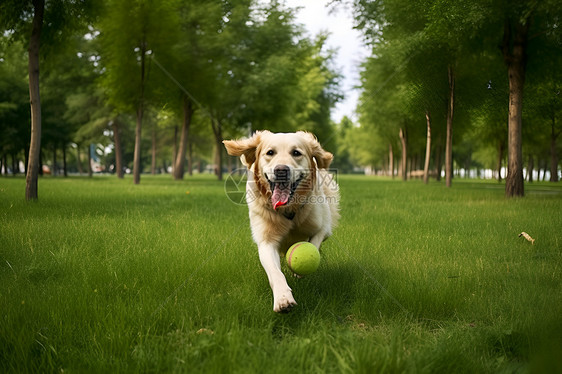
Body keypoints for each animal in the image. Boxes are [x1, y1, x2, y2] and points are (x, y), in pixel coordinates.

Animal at [222, 131, 336, 312]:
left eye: (296, 152)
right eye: (270, 152)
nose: (281, 170)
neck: (288, 209)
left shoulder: (323, 228)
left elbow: (313, 245)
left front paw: (300, 270)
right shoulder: (266, 242)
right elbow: (275, 272)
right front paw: (283, 298)